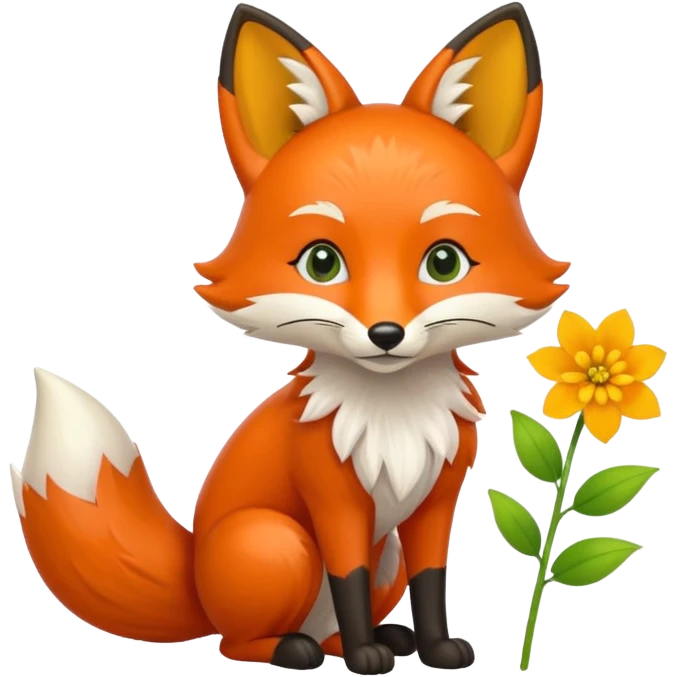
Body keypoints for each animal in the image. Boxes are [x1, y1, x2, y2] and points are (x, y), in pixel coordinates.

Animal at [10, 2, 568, 675]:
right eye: (321, 263)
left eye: (444, 263)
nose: (386, 333)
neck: (393, 417)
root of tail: (195, 578)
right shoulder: (334, 500)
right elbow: (349, 579)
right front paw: (366, 657)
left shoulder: (435, 502)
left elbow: (432, 582)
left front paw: (436, 648)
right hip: (278, 542)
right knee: (236, 641)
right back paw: (303, 649)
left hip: (384, 552)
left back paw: (373, 641)